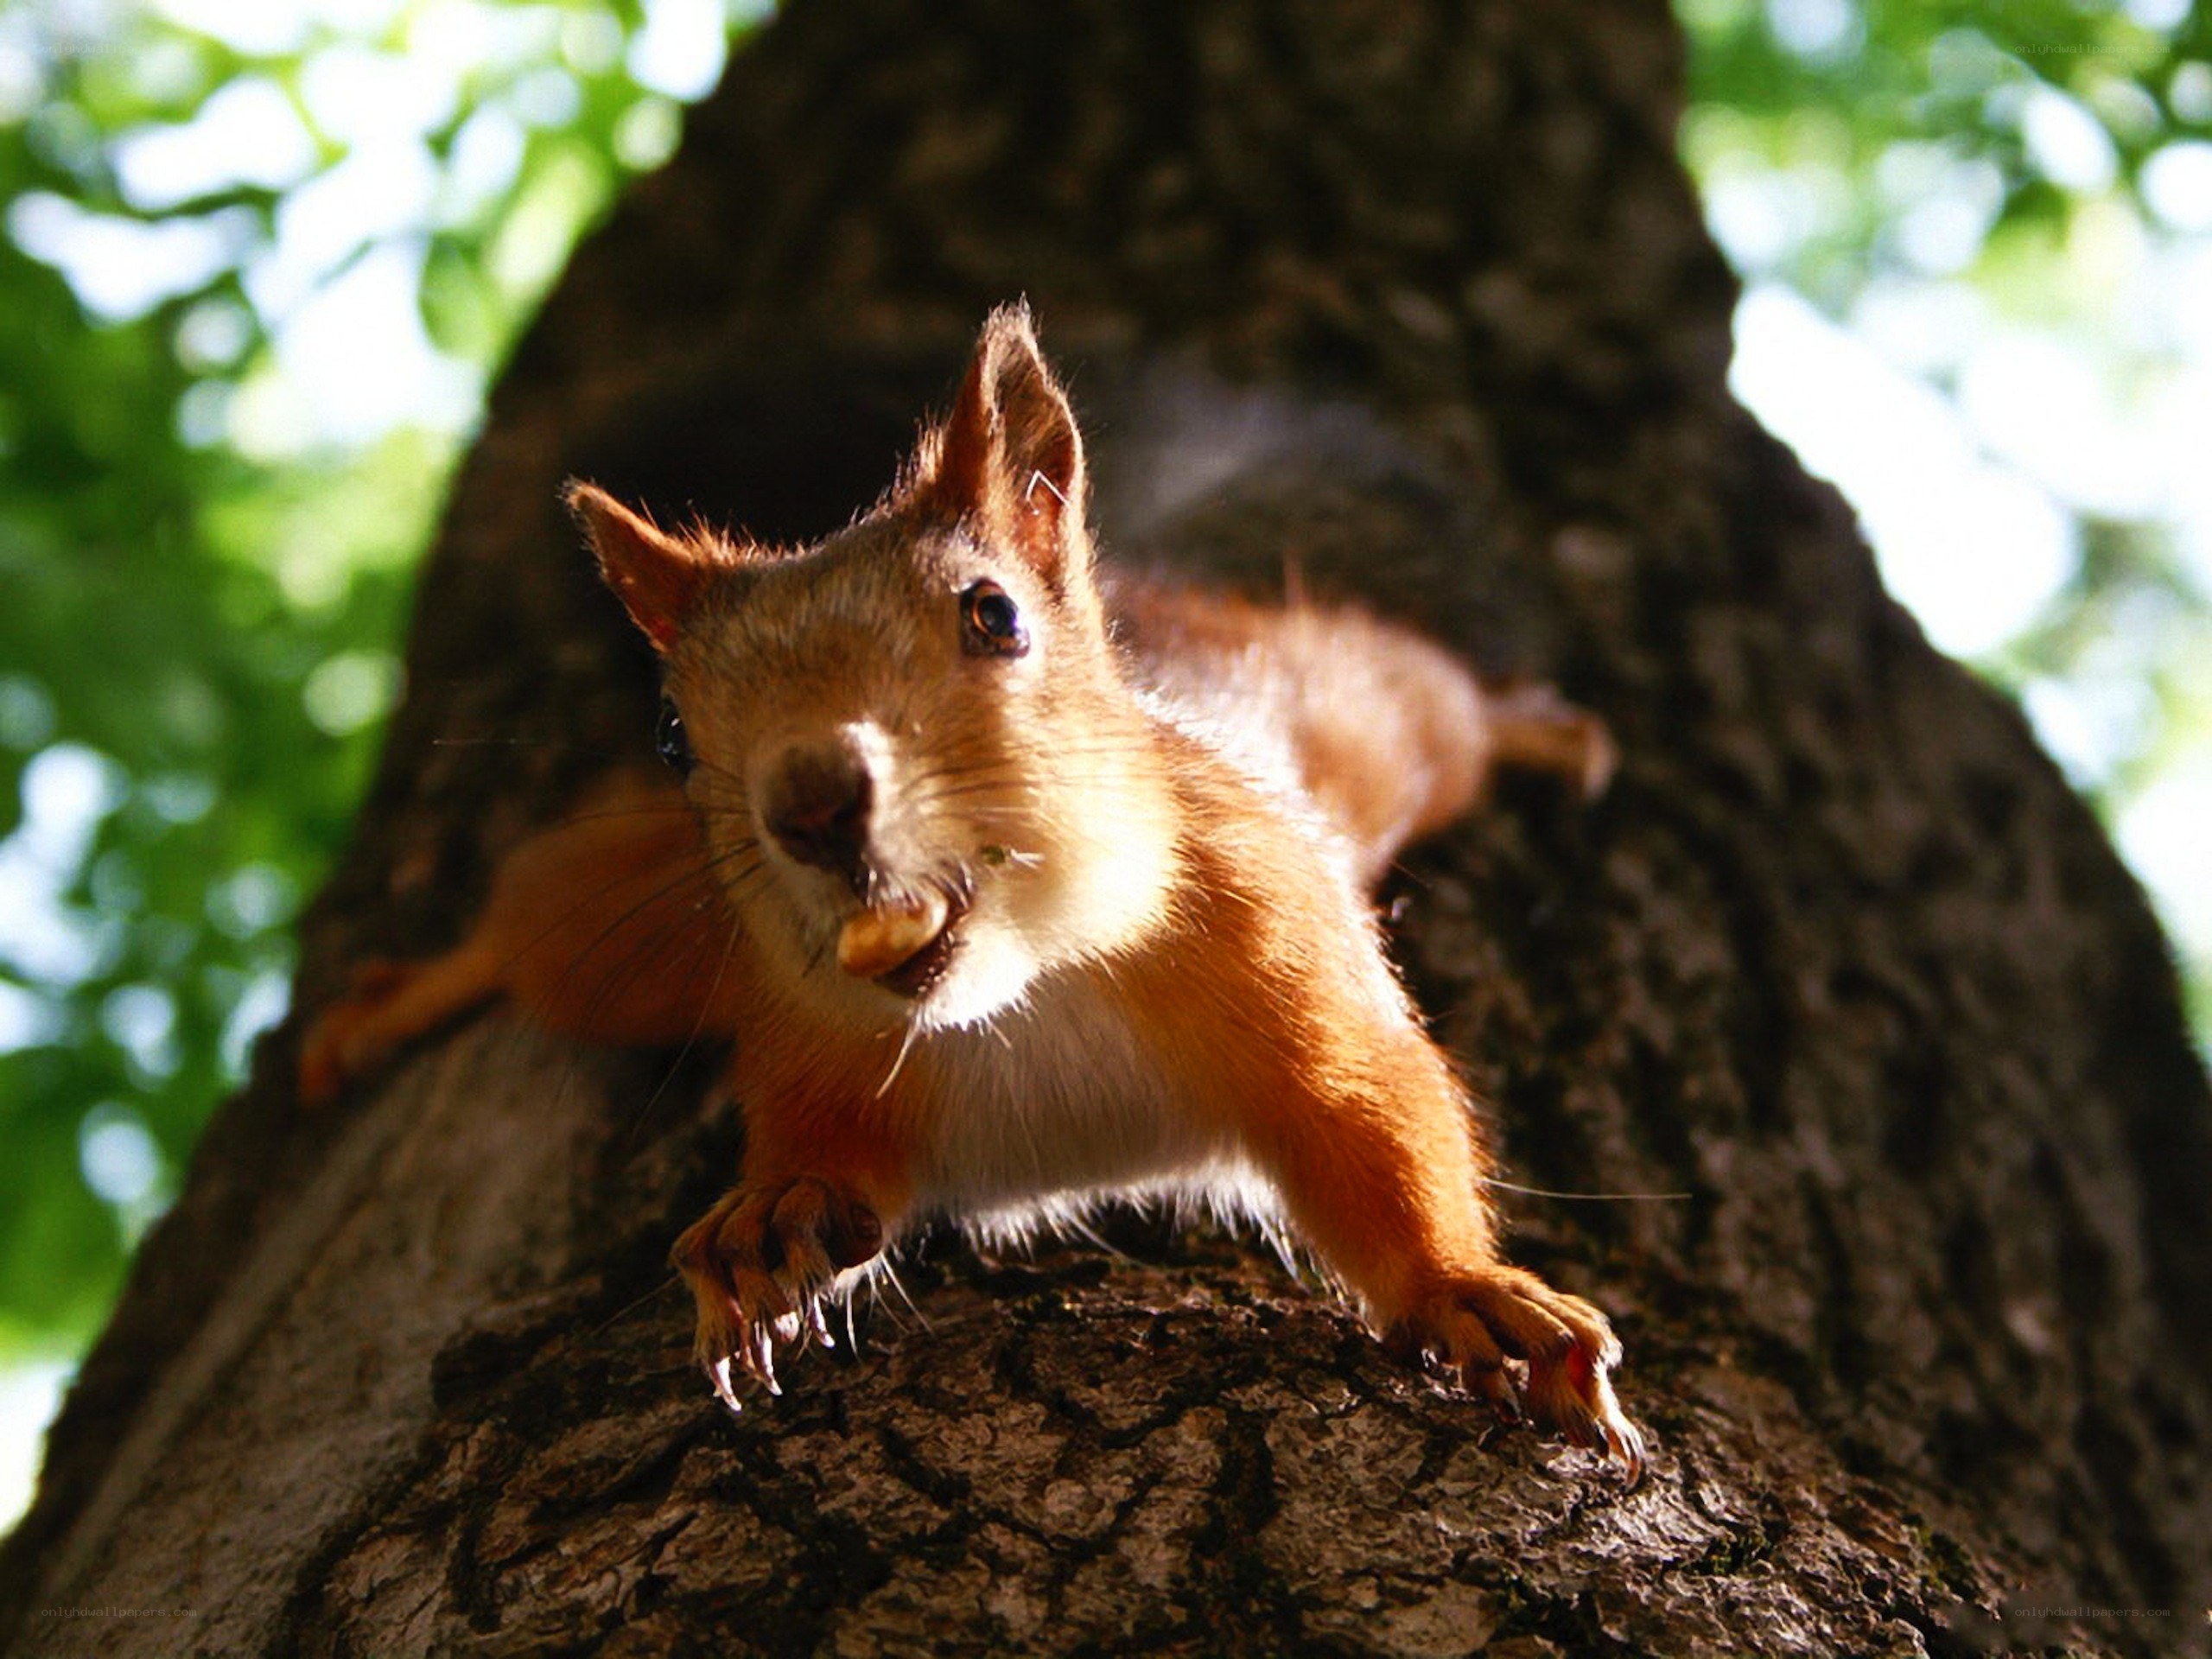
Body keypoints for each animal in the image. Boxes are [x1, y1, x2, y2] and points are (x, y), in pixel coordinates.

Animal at [299, 304, 1643, 1474]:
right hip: (644, 932)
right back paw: (400, 998)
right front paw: (769, 1219)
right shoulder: (802, 1033)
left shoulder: (1278, 934)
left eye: (994, 615)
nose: (812, 797)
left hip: (1357, 713)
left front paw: (1470, 1294)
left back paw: (1537, 730)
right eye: (674, 734)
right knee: (533, 936)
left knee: (1435, 697)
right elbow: (825, 1158)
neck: (1023, 987)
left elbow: (1374, 1116)